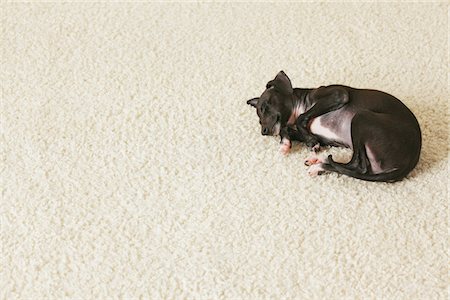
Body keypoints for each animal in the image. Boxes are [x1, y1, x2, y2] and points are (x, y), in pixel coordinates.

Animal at [246, 71, 422, 182]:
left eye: (265, 107)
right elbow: (286, 128)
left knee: (359, 166)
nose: (263, 131)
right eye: (259, 120)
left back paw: (320, 164)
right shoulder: (323, 137)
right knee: (357, 166)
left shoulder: (338, 95)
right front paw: (286, 144)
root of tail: (411, 160)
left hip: (361, 117)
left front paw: (308, 142)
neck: (300, 105)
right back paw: (319, 163)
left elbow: (300, 120)